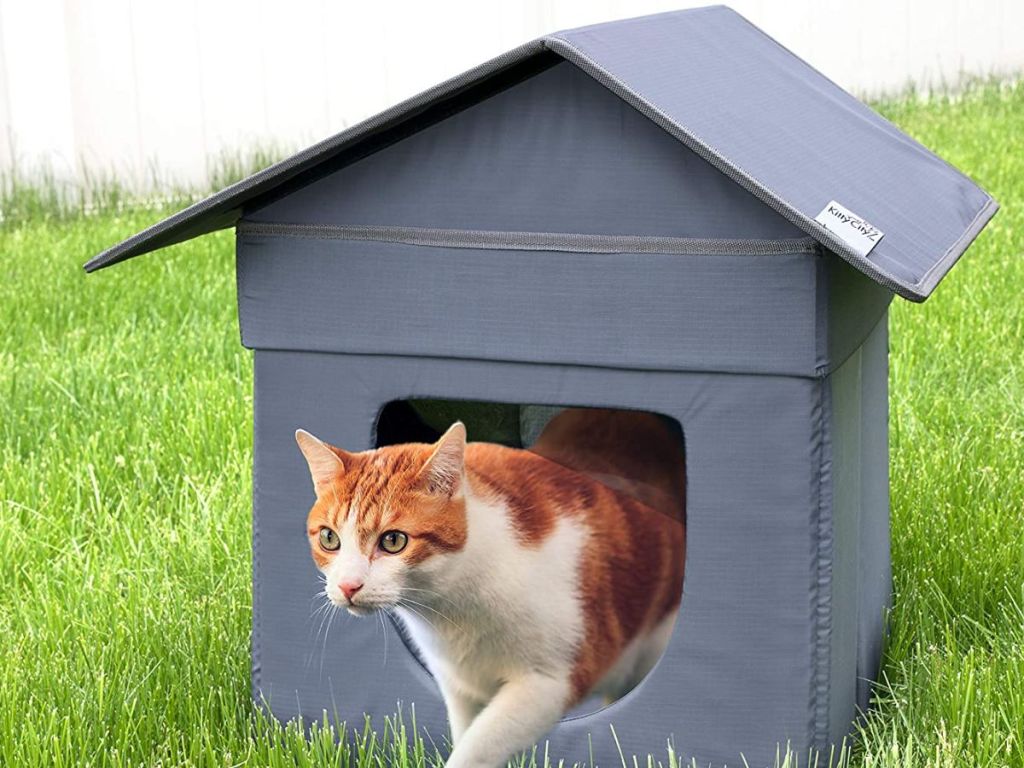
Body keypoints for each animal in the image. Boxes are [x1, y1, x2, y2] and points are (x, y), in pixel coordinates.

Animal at [296, 411, 684, 768]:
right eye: (329, 538)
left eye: (393, 541)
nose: (348, 585)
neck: (453, 607)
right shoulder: (458, 689)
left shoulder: (549, 683)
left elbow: (477, 748)